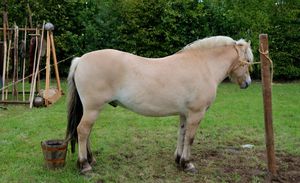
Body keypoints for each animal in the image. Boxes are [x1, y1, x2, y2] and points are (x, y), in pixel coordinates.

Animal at [65, 35, 253, 173]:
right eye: (248, 61)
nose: (248, 83)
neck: (203, 65)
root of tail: (81, 60)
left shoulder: (184, 114)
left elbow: (182, 135)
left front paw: (178, 160)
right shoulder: (196, 113)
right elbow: (190, 138)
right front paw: (188, 164)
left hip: (91, 110)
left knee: (87, 132)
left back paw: (91, 159)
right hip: (92, 109)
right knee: (83, 131)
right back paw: (85, 165)